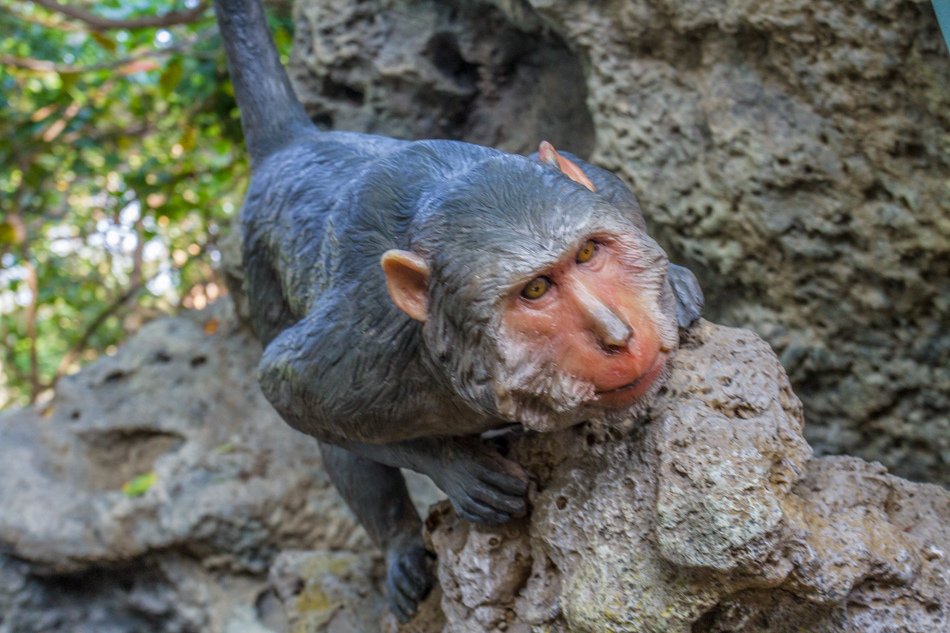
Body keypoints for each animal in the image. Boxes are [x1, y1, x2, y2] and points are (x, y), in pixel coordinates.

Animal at [214, 0, 708, 624]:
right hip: (263, 271)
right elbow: (285, 386)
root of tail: (291, 149)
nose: (618, 335)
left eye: (588, 253)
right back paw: (401, 546)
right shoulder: (362, 349)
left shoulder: (593, 188)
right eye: (535, 291)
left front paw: (675, 285)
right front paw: (454, 464)